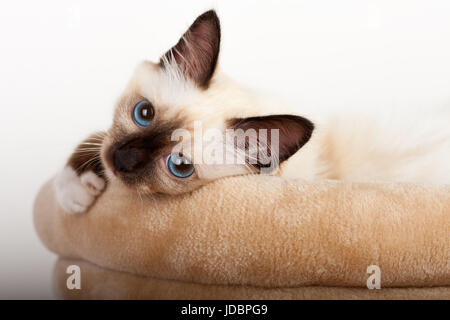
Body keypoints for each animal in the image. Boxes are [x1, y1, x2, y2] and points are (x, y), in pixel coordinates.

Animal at [55, 10, 450, 214]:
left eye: (179, 166)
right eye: (144, 113)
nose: (121, 161)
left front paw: (76, 197)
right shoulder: (109, 140)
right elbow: (94, 139)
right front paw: (78, 189)